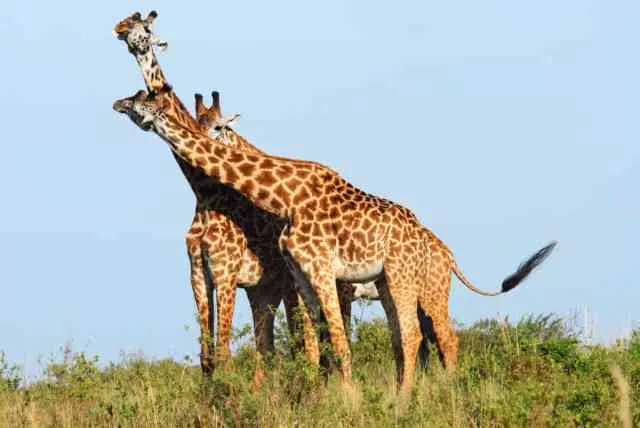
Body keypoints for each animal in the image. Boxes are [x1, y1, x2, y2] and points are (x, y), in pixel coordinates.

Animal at [112, 88, 556, 395]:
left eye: (142, 98)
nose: (117, 103)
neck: (282, 197)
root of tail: (447, 252)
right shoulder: (297, 277)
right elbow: (320, 343)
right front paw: (321, 395)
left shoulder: (317, 272)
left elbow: (333, 343)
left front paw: (347, 399)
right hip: (391, 285)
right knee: (412, 339)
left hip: (415, 283)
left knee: (429, 336)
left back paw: (417, 397)